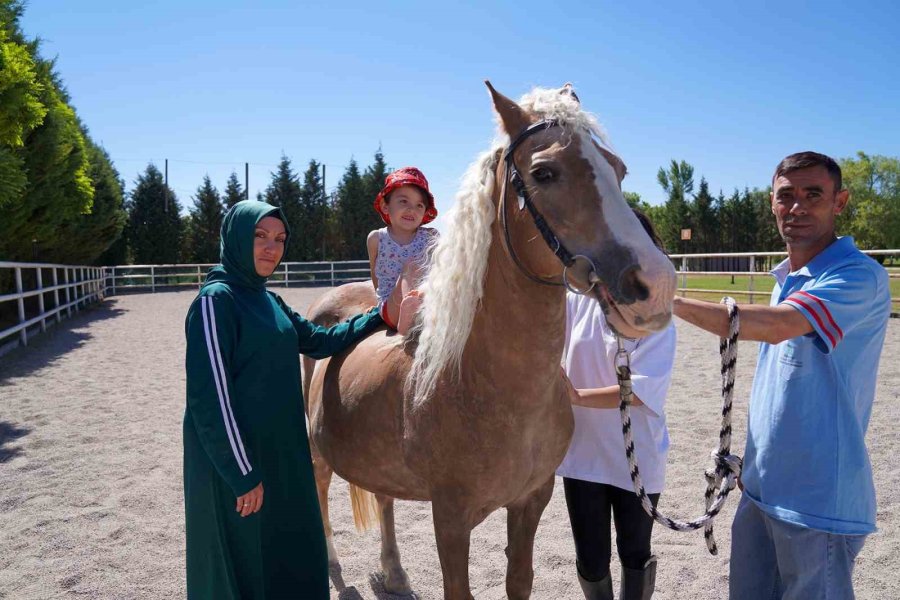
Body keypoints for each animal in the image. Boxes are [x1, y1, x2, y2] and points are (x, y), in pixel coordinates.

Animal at [302, 82, 676, 596]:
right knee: (320, 494)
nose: (656, 284)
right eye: (544, 172)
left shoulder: (531, 500)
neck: (481, 380)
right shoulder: (450, 519)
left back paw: (395, 572)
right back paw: (333, 566)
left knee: (383, 499)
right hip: (316, 451)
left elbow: (519, 580)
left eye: (617, 169)